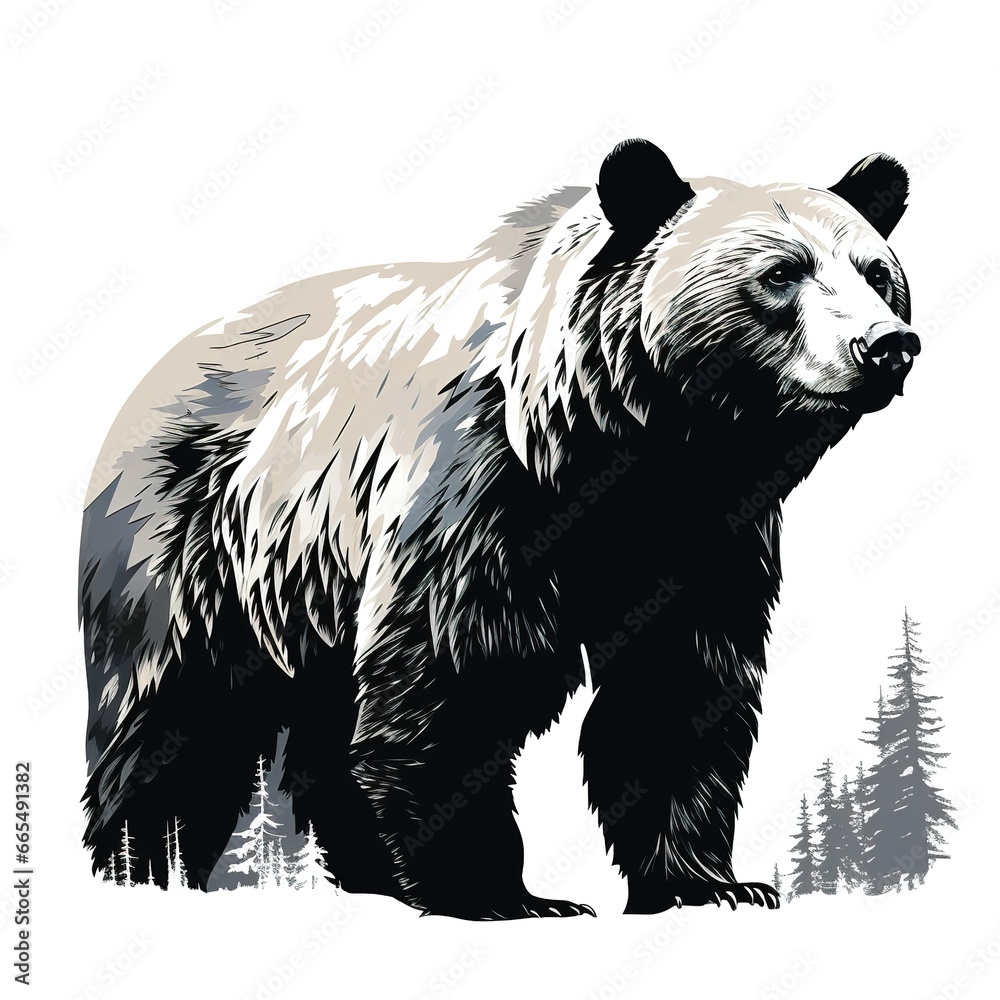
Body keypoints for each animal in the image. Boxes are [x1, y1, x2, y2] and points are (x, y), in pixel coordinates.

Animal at [80, 138, 919, 917]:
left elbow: (676, 689)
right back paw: (141, 862)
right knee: (169, 723)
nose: (886, 345)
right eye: (780, 273)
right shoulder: (479, 502)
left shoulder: (700, 537)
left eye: (876, 272)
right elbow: (456, 679)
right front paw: (500, 892)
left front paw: (709, 883)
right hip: (193, 545)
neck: (631, 450)